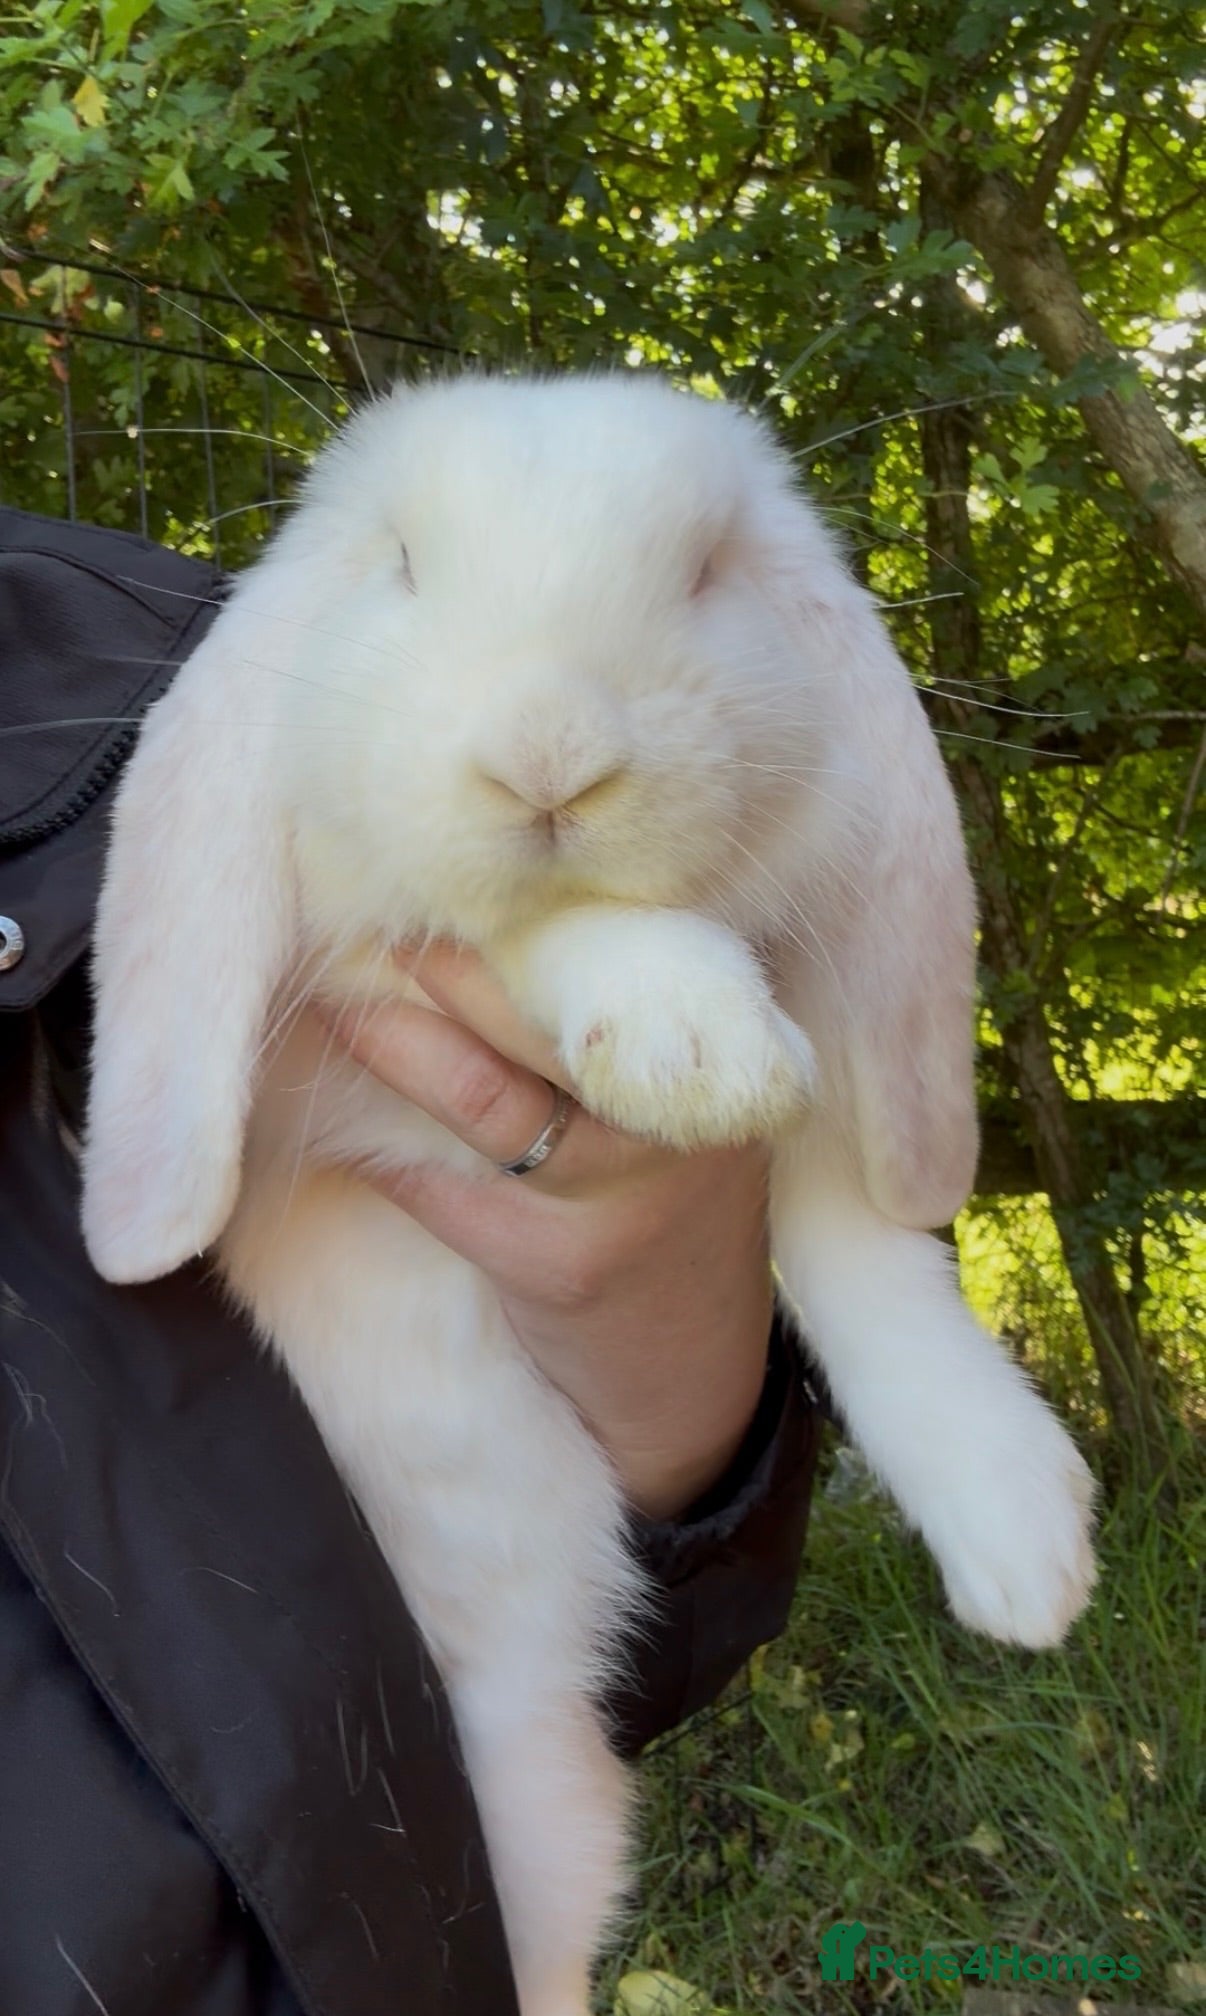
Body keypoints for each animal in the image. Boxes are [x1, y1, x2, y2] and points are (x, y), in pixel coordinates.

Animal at [82, 371, 1096, 2016]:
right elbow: (529, 934)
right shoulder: (359, 993)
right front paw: (695, 1039)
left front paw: (1026, 1545)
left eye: (705, 574)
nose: (545, 756)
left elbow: (849, 1227)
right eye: (403, 565)